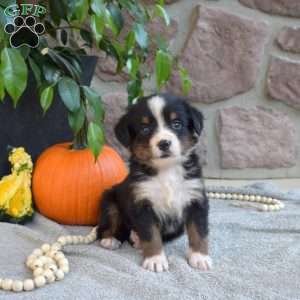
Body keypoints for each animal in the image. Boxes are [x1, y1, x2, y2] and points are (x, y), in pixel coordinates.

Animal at [96, 93, 211, 272]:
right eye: (145, 129)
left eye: (176, 124)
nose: (164, 143)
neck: (167, 170)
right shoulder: (142, 203)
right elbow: (151, 234)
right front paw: (155, 259)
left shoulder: (195, 198)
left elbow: (198, 230)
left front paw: (200, 257)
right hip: (109, 200)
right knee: (107, 226)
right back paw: (111, 239)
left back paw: (135, 238)